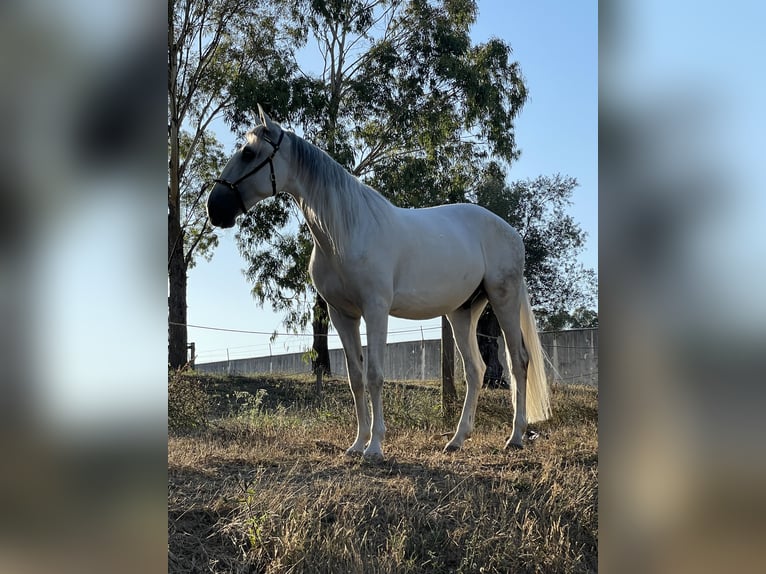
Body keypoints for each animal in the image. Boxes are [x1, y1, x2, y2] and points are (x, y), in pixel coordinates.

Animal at [207, 106, 548, 462]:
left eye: (249, 153)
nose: (214, 208)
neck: (346, 231)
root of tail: (510, 232)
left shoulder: (375, 310)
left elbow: (374, 375)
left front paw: (375, 446)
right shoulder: (342, 314)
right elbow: (356, 379)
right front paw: (357, 444)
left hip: (502, 298)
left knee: (519, 361)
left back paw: (516, 436)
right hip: (462, 312)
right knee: (475, 370)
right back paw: (456, 439)